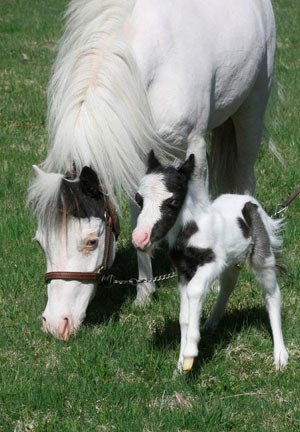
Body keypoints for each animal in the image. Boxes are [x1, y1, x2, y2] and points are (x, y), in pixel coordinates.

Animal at [27, 0, 276, 338]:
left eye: (92, 241)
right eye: (41, 242)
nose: (56, 324)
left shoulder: (194, 148)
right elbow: (139, 219)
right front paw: (144, 293)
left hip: (252, 111)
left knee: (245, 173)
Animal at [132, 151, 288, 372]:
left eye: (174, 201)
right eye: (139, 200)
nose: (140, 239)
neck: (191, 230)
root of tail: (249, 200)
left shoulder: (212, 262)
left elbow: (195, 291)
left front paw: (190, 353)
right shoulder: (183, 271)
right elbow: (184, 316)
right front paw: (180, 366)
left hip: (261, 256)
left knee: (272, 293)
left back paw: (281, 356)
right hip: (231, 260)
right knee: (229, 284)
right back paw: (211, 323)